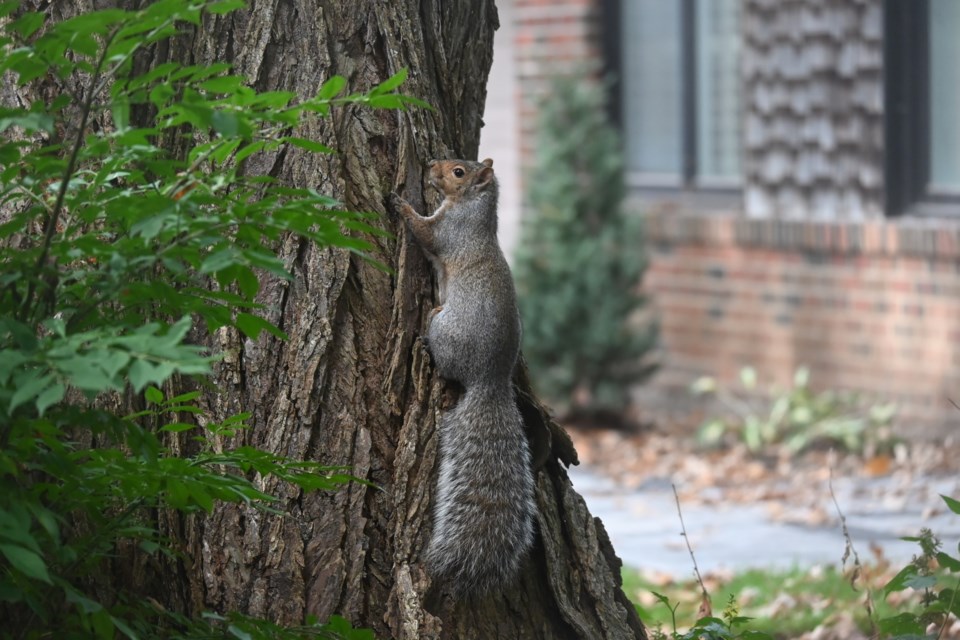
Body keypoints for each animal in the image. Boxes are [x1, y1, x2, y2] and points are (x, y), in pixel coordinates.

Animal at [390, 158, 540, 596]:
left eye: (458, 171)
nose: (429, 164)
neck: (473, 207)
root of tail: (489, 380)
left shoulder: (448, 232)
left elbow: (424, 232)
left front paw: (400, 203)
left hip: (447, 330)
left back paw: (426, 344)